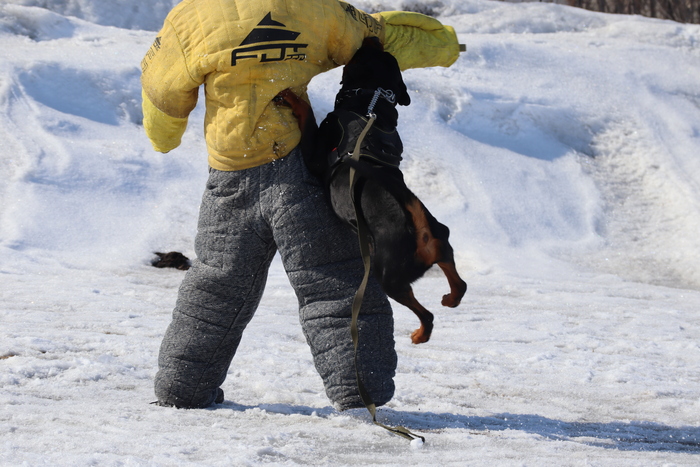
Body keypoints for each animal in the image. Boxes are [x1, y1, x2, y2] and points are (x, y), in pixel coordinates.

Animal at [276, 37, 466, 344]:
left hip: (388, 275)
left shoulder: (315, 156)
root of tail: (419, 229)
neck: (371, 104)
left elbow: (307, 116)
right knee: (459, 283)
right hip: (438, 242)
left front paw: (294, 99)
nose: (373, 37)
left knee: (427, 315)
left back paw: (420, 334)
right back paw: (449, 298)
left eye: (361, 54)